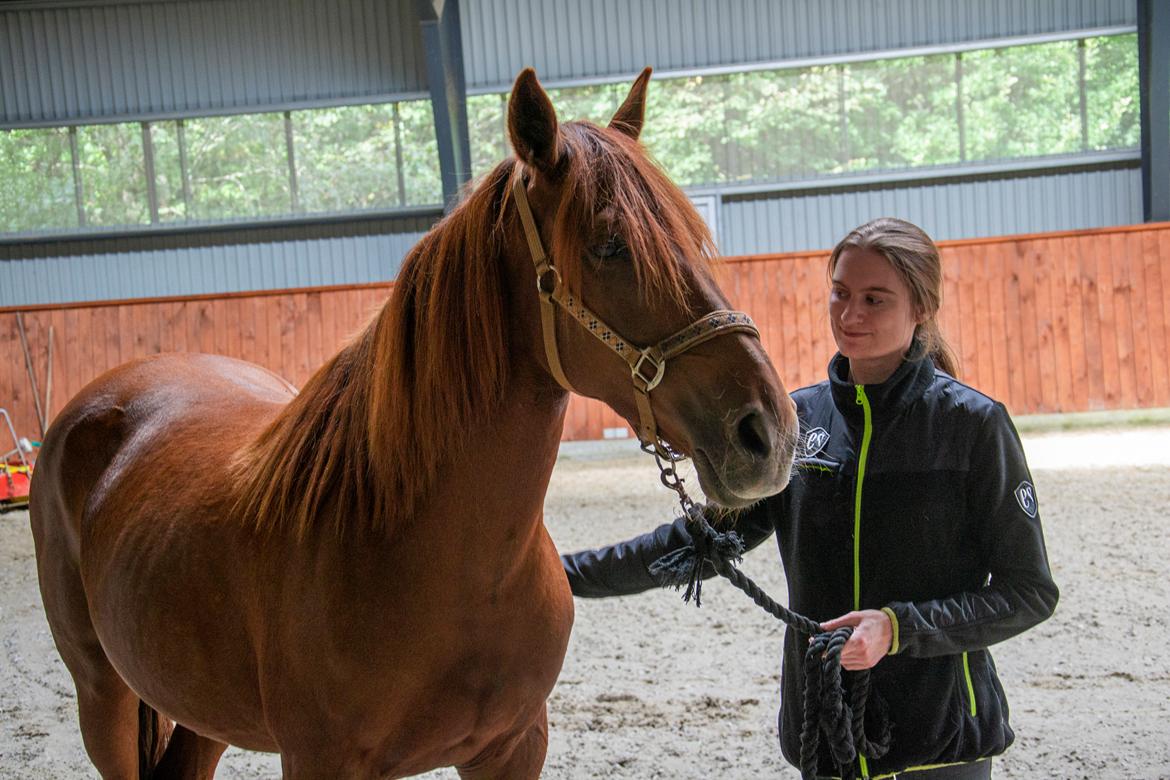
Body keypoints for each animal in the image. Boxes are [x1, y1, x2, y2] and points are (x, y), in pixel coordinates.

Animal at [27, 68, 800, 780]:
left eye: (693, 237)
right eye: (609, 244)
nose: (768, 433)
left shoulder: (513, 747)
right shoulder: (321, 761)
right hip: (104, 699)